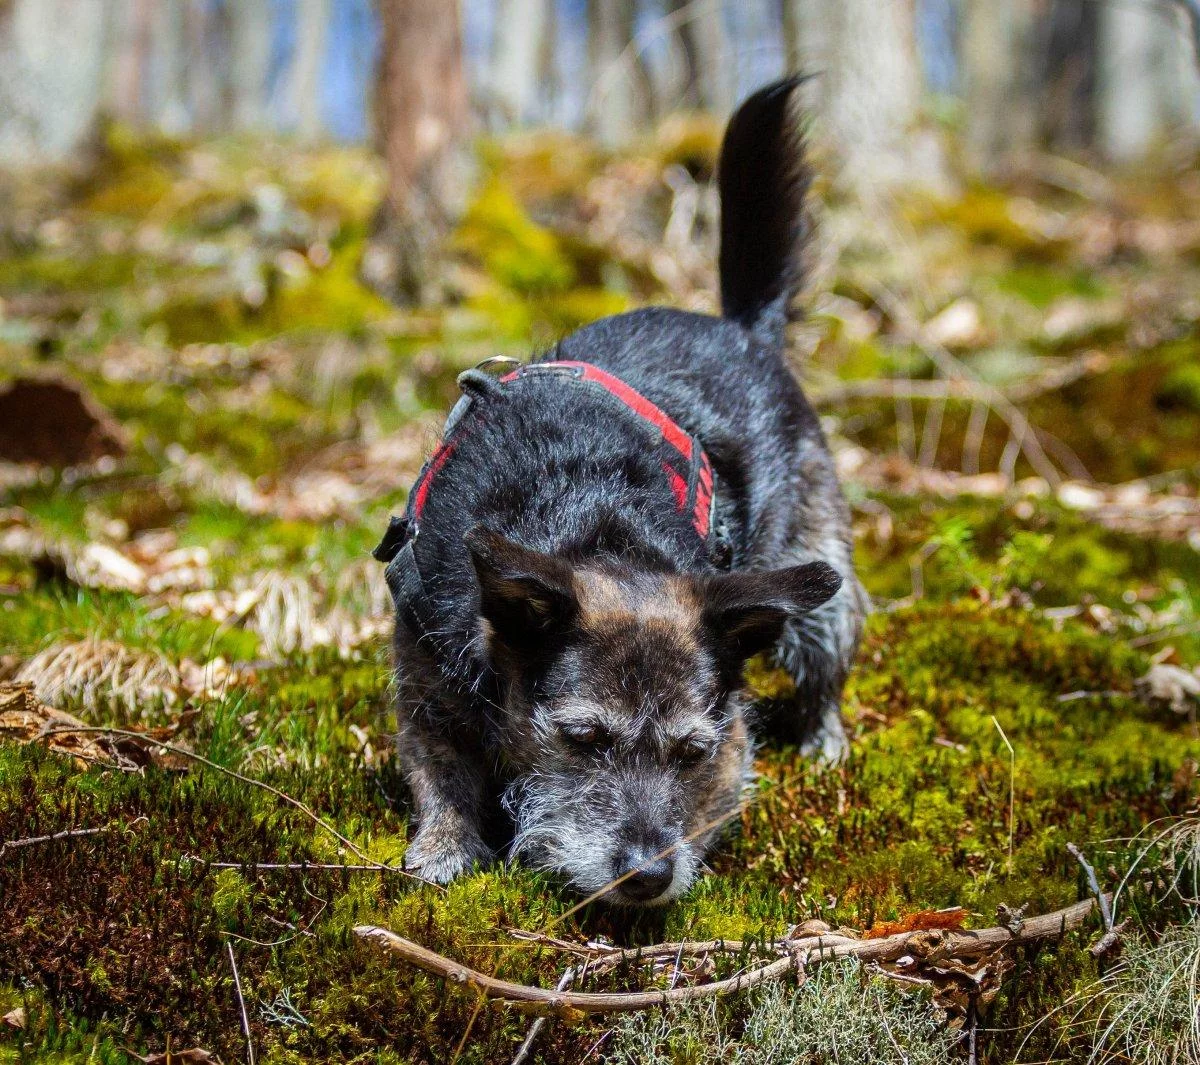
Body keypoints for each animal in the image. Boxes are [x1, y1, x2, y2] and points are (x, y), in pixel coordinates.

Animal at [374, 76, 864, 906]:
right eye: (583, 737)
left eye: (690, 751)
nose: (648, 875)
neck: (593, 520)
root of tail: (744, 329)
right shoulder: (427, 674)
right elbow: (440, 769)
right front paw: (444, 844)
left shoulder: (728, 738)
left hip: (815, 578)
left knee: (825, 662)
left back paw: (822, 739)